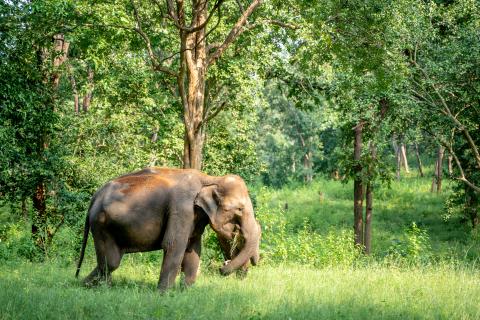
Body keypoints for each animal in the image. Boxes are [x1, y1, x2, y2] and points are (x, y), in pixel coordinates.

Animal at [75, 169, 260, 292]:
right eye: (239, 209)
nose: (222, 267)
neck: (210, 178)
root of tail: (95, 195)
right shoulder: (182, 208)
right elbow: (173, 244)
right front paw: (163, 294)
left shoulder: (195, 217)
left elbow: (193, 249)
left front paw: (186, 293)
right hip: (101, 224)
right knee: (111, 262)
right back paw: (98, 288)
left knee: (110, 261)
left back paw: (85, 286)